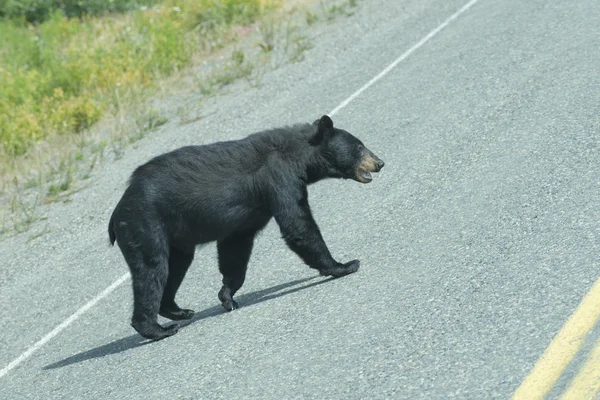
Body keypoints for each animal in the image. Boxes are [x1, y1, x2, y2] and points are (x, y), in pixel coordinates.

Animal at [108, 115, 384, 340]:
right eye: (360, 147)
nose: (380, 162)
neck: (299, 155)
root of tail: (116, 212)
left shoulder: (247, 217)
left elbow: (235, 250)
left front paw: (227, 296)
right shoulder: (279, 179)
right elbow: (297, 225)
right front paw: (343, 265)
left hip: (175, 239)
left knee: (175, 266)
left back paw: (178, 311)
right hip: (145, 226)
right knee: (151, 270)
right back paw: (156, 329)